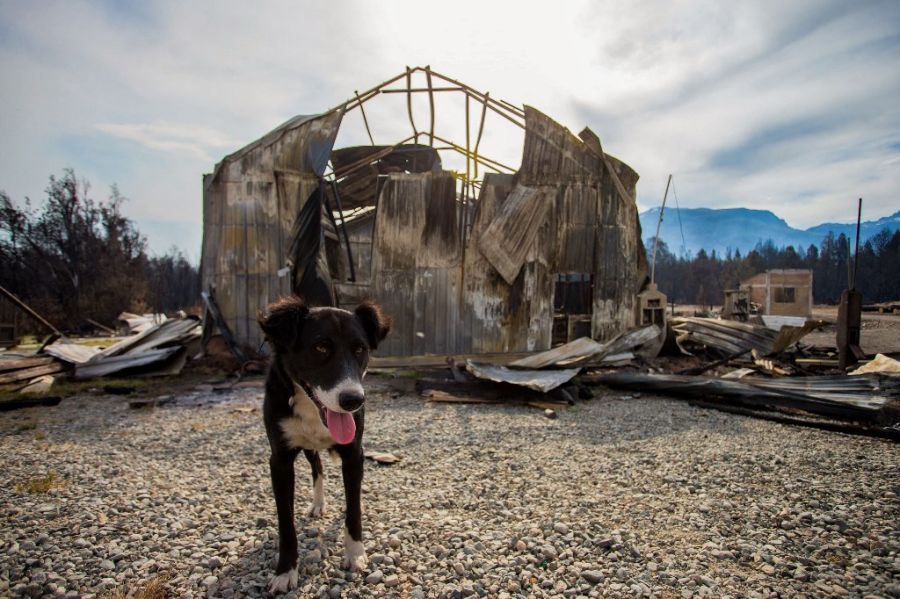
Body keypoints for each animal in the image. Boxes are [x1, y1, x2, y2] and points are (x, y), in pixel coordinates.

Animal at [256, 298, 390, 592]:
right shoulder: (279, 461)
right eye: (320, 347)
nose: (353, 401)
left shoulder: (354, 454)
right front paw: (285, 571)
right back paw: (318, 504)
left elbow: (354, 509)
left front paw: (355, 554)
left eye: (360, 349)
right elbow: (286, 522)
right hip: (307, 449)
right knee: (316, 468)